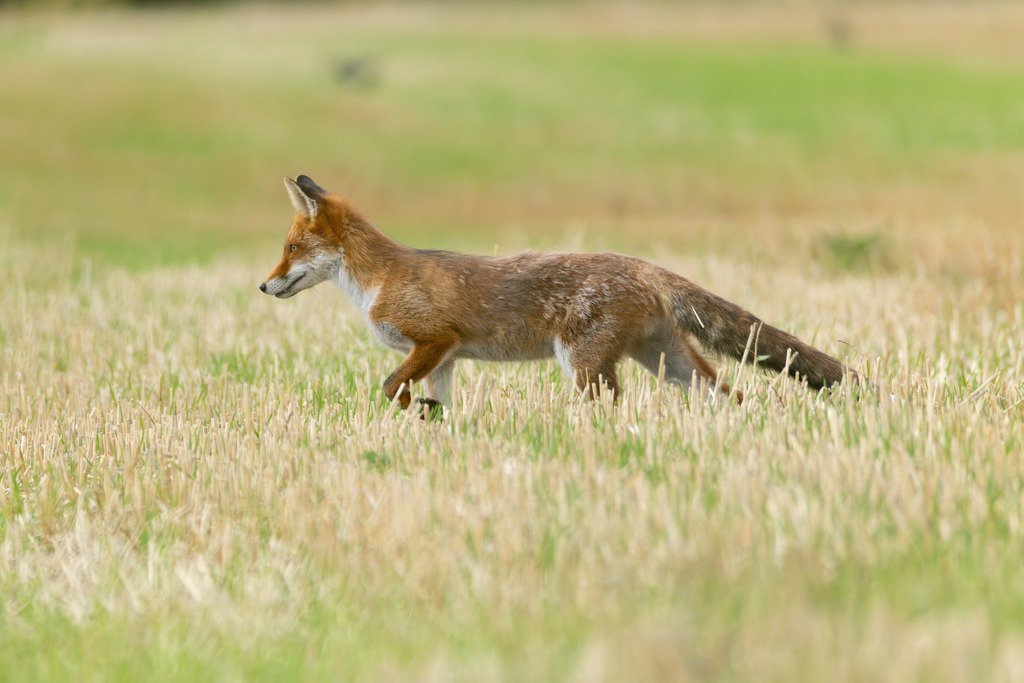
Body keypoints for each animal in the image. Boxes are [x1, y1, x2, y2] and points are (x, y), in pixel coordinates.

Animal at [261, 175, 855, 414]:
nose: (263, 285)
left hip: (584, 362)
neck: (377, 281)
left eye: (290, 248)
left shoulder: (433, 339)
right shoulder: (443, 359)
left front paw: (406, 415)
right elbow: (435, 402)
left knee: (611, 404)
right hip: (667, 361)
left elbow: (389, 387)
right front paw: (428, 425)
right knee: (726, 392)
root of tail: (641, 264)